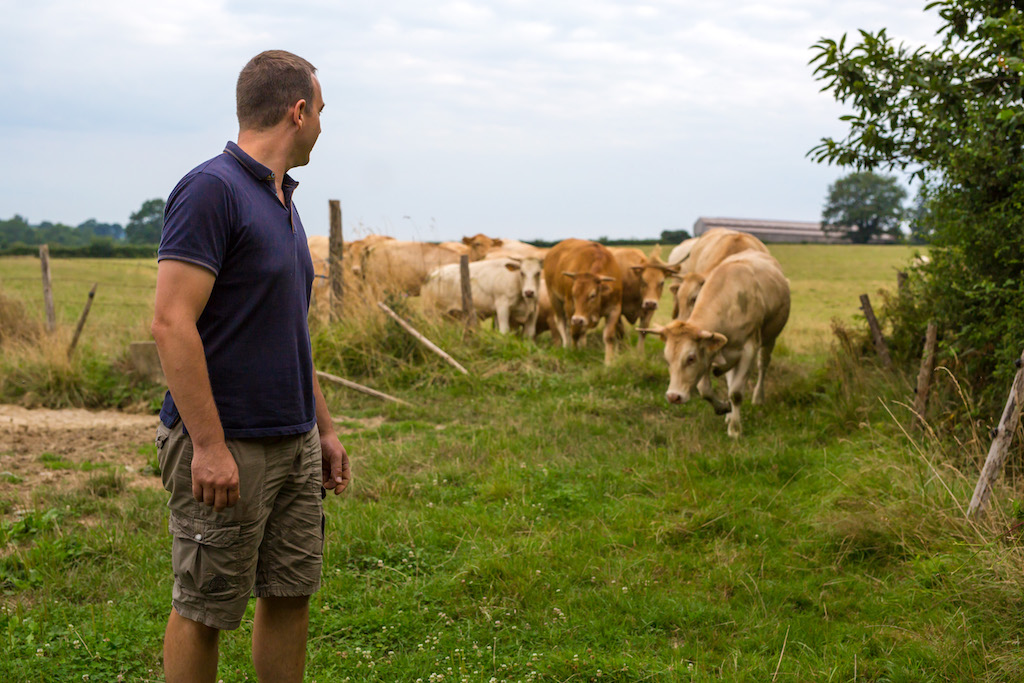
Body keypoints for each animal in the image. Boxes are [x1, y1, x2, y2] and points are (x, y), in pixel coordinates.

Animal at [544, 237, 622, 366]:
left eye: (592, 295)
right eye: (574, 295)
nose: (578, 319)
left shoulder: (615, 309)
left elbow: (608, 336)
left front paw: (608, 362)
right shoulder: (571, 309)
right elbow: (574, 333)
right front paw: (574, 353)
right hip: (554, 298)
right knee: (562, 323)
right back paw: (566, 346)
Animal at [638, 250, 790, 438]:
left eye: (691, 358)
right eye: (667, 360)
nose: (673, 396)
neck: (730, 302)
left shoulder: (749, 350)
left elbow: (736, 393)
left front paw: (735, 429)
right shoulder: (709, 352)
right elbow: (705, 389)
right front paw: (723, 408)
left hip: (770, 340)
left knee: (763, 365)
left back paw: (758, 398)